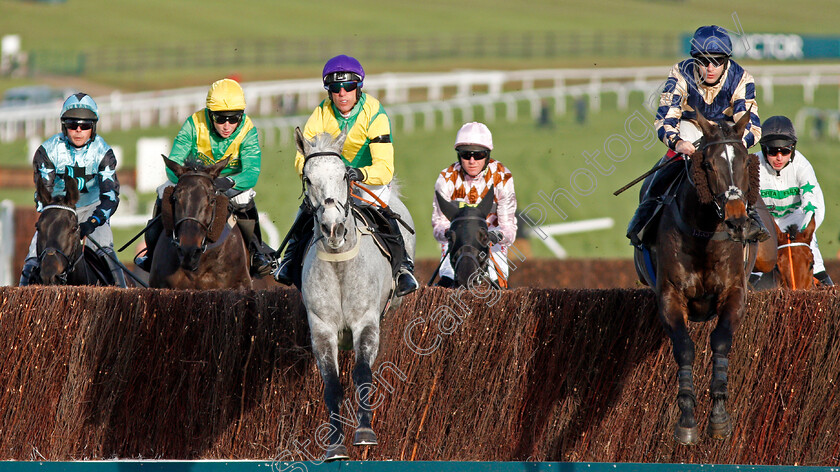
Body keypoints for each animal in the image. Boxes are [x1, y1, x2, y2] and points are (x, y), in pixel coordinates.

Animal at [294, 127, 416, 460]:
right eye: (308, 178)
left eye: (344, 175)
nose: (333, 228)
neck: (339, 263)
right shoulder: (322, 328)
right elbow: (332, 383)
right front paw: (335, 443)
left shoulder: (366, 322)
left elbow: (362, 373)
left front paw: (364, 432)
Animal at [640, 112, 764, 444]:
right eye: (707, 164)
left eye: (744, 160)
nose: (736, 222)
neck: (705, 236)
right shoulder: (669, 295)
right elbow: (684, 347)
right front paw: (686, 417)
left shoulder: (735, 292)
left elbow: (720, 341)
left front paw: (719, 415)